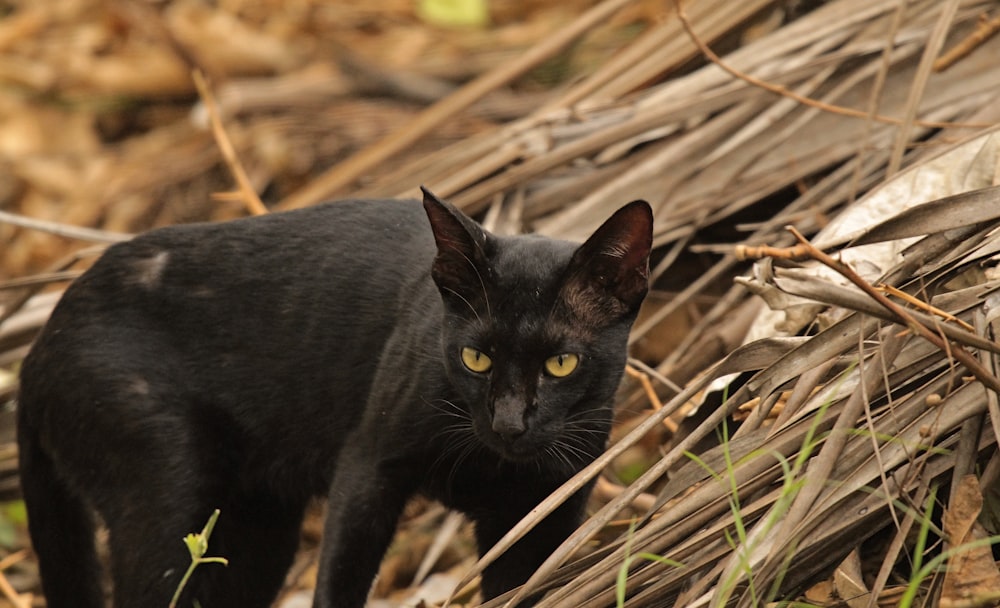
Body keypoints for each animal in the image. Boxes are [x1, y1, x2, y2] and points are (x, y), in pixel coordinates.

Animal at [17, 188, 656, 604]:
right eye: (476, 357)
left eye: (560, 363)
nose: (508, 422)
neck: (489, 464)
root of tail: (38, 344)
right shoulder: (368, 467)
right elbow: (341, 580)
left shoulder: (543, 512)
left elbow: (523, 590)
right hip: (165, 494)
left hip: (259, 529)